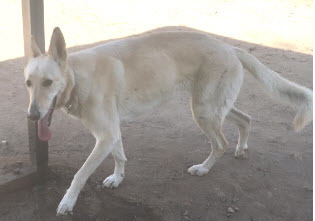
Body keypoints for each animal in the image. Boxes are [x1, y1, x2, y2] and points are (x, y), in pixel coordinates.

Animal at [23, 26, 312, 215]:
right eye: (28, 83)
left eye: (48, 83)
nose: (32, 116)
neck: (78, 76)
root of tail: (230, 46)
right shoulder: (111, 133)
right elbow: (120, 156)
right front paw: (117, 178)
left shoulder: (105, 135)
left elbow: (80, 174)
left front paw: (67, 202)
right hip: (215, 107)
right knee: (246, 120)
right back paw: (242, 149)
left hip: (204, 111)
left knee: (221, 143)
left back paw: (203, 168)